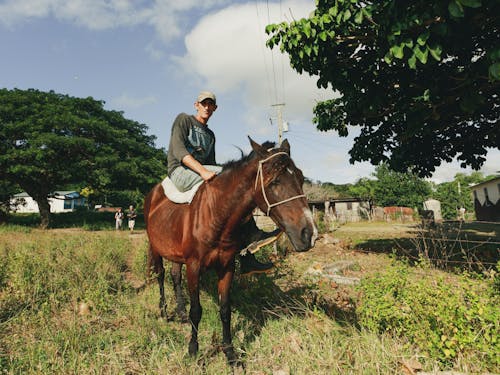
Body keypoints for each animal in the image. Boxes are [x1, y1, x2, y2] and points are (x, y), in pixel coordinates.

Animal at [145, 137, 316, 364]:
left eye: (301, 177)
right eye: (274, 182)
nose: (309, 234)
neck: (215, 213)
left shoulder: (226, 266)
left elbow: (225, 310)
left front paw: (230, 353)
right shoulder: (193, 266)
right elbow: (196, 310)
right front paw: (193, 349)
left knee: (174, 276)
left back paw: (179, 311)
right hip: (156, 248)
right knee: (161, 275)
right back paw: (164, 312)